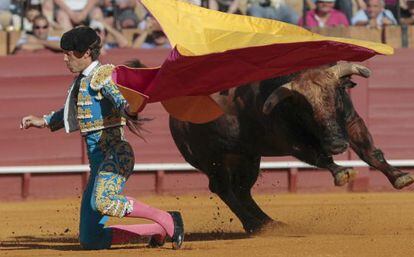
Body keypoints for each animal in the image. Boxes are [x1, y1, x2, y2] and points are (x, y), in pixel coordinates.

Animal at [168, 62, 414, 232]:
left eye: (336, 96)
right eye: (306, 109)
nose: (337, 145)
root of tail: (175, 118)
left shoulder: (352, 122)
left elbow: (371, 153)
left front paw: (400, 176)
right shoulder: (294, 143)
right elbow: (320, 157)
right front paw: (342, 172)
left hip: (247, 157)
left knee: (242, 190)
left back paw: (269, 223)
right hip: (213, 160)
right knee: (223, 188)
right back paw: (253, 226)